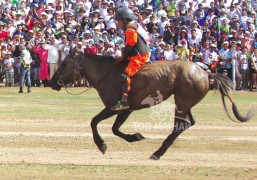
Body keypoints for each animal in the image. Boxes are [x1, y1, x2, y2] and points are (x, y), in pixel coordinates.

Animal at [51, 47, 255, 160]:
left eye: (64, 63)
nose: (52, 82)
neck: (107, 73)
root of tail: (205, 72)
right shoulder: (127, 109)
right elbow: (115, 129)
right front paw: (135, 136)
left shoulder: (114, 107)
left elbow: (94, 122)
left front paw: (101, 144)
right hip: (185, 103)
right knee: (187, 123)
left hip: (182, 102)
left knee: (181, 125)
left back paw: (158, 152)